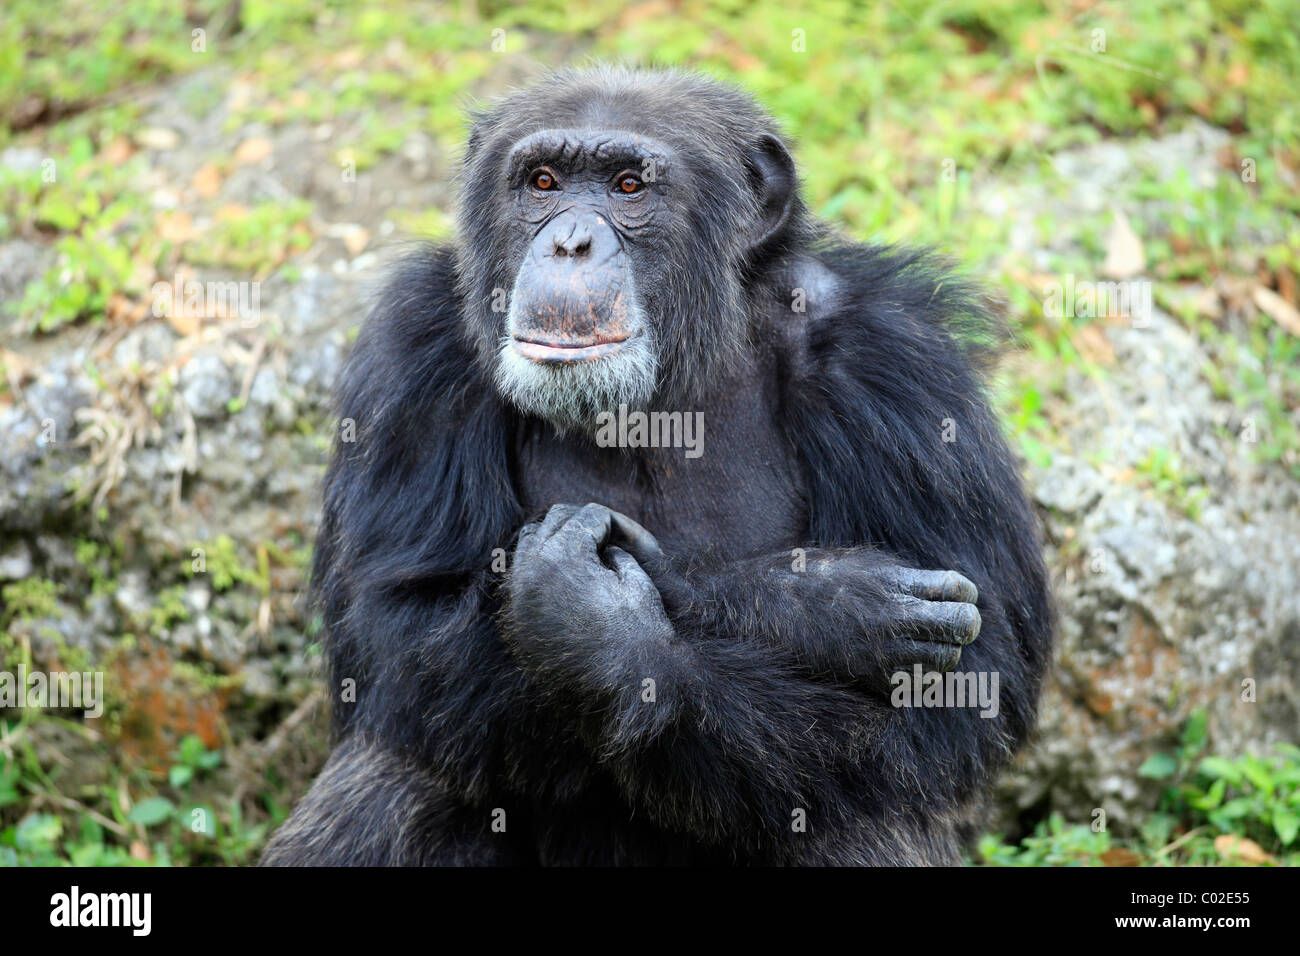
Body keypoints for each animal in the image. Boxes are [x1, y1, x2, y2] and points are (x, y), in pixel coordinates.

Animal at [263, 65, 1055, 868]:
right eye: (542, 182)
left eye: (628, 187)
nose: (570, 242)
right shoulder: (413, 347)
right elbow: (397, 627)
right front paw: (831, 604)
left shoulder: (895, 356)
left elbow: (971, 682)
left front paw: (606, 629)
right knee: (394, 782)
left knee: (859, 820)